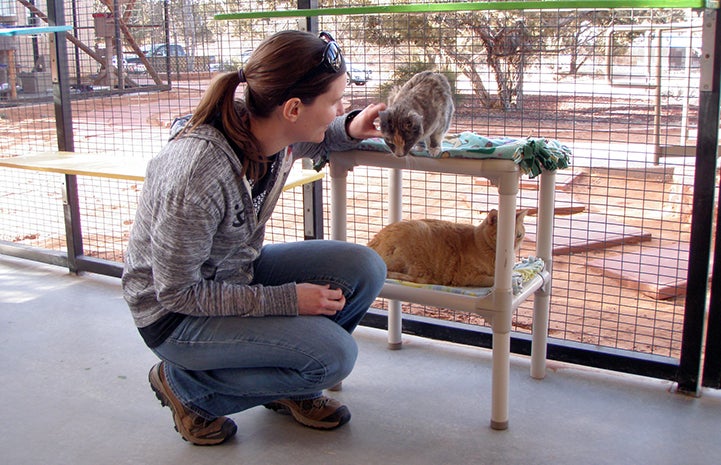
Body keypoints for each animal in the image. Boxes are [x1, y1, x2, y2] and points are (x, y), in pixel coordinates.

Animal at [368, 209, 524, 286]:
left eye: (519, 235)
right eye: (505, 236)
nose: (513, 246)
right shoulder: (468, 277)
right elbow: (492, 280)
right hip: (419, 236)